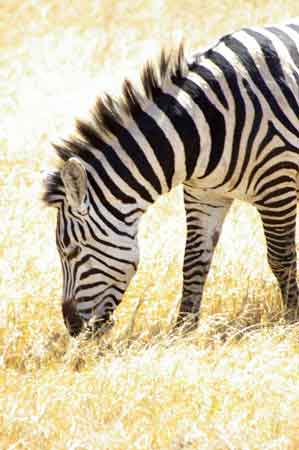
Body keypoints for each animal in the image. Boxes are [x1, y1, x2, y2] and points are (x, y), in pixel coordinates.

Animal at [42, 22, 299, 338]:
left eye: (72, 251)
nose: (73, 328)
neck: (202, 126)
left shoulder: (276, 185)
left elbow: (280, 258)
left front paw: (291, 319)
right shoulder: (204, 195)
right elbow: (193, 261)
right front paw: (184, 330)